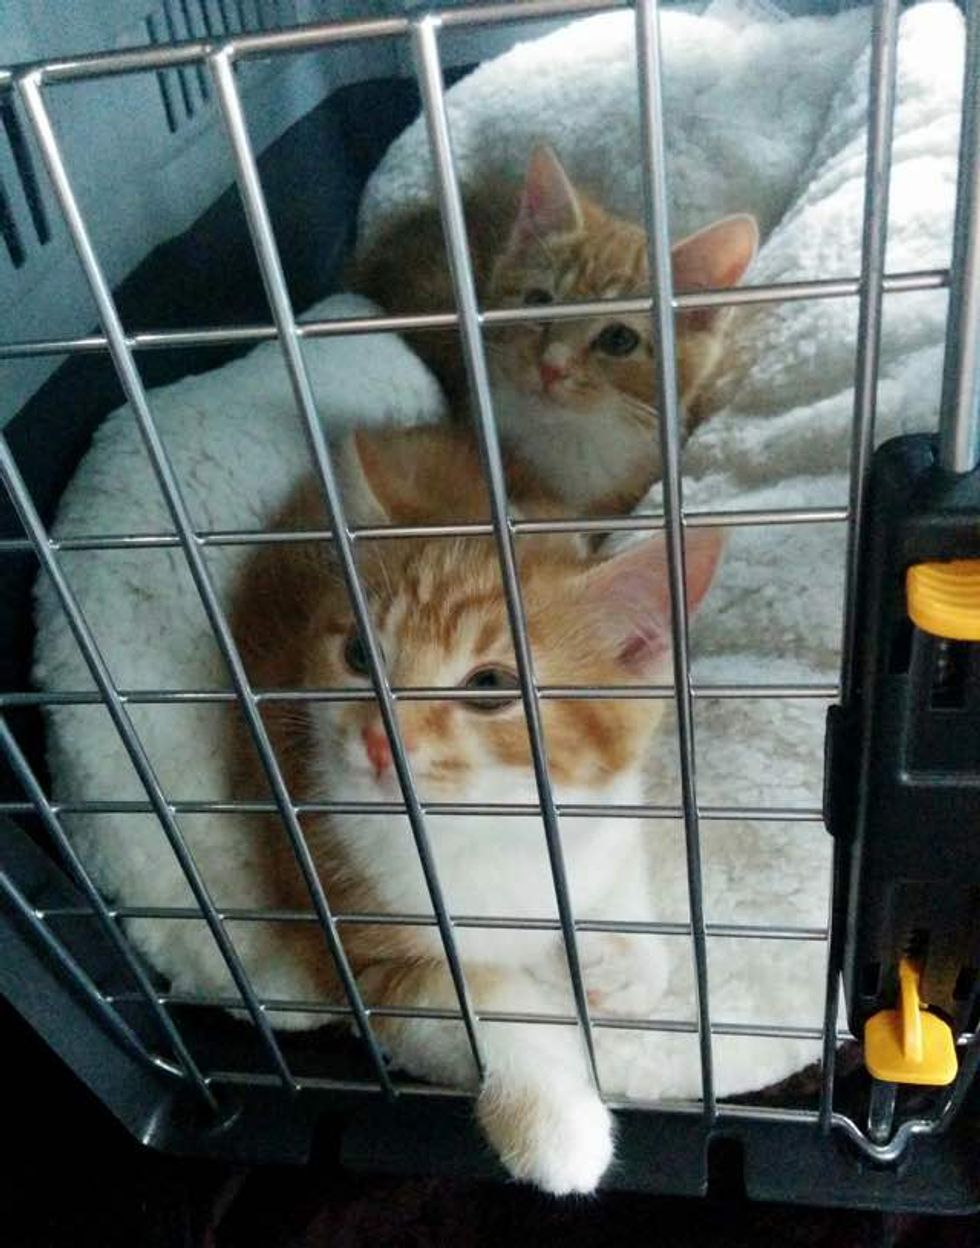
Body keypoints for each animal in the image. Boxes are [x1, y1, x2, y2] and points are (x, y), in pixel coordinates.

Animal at [227, 423, 724, 1194]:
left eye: (489, 686)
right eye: (360, 654)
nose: (378, 739)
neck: (493, 825)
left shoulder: (612, 805)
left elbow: (621, 885)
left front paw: (621, 960)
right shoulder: (364, 937)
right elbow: (480, 1000)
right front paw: (555, 1123)